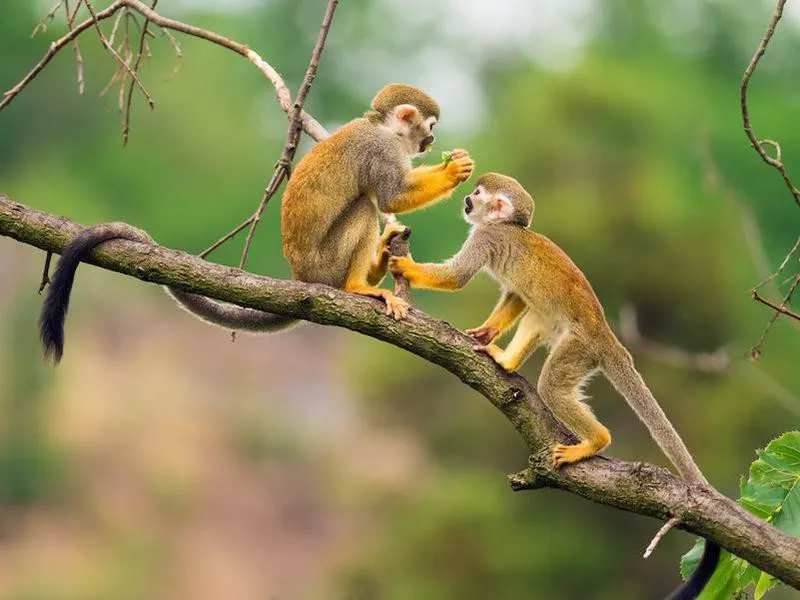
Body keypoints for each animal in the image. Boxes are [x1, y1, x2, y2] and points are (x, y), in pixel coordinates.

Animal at [37, 84, 472, 360]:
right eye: (430, 127)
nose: (432, 142)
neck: (384, 129)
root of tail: (302, 278)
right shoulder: (380, 151)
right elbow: (389, 196)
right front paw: (453, 172)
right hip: (326, 264)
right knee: (364, 206)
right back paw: (358, 287)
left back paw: (380, 263)